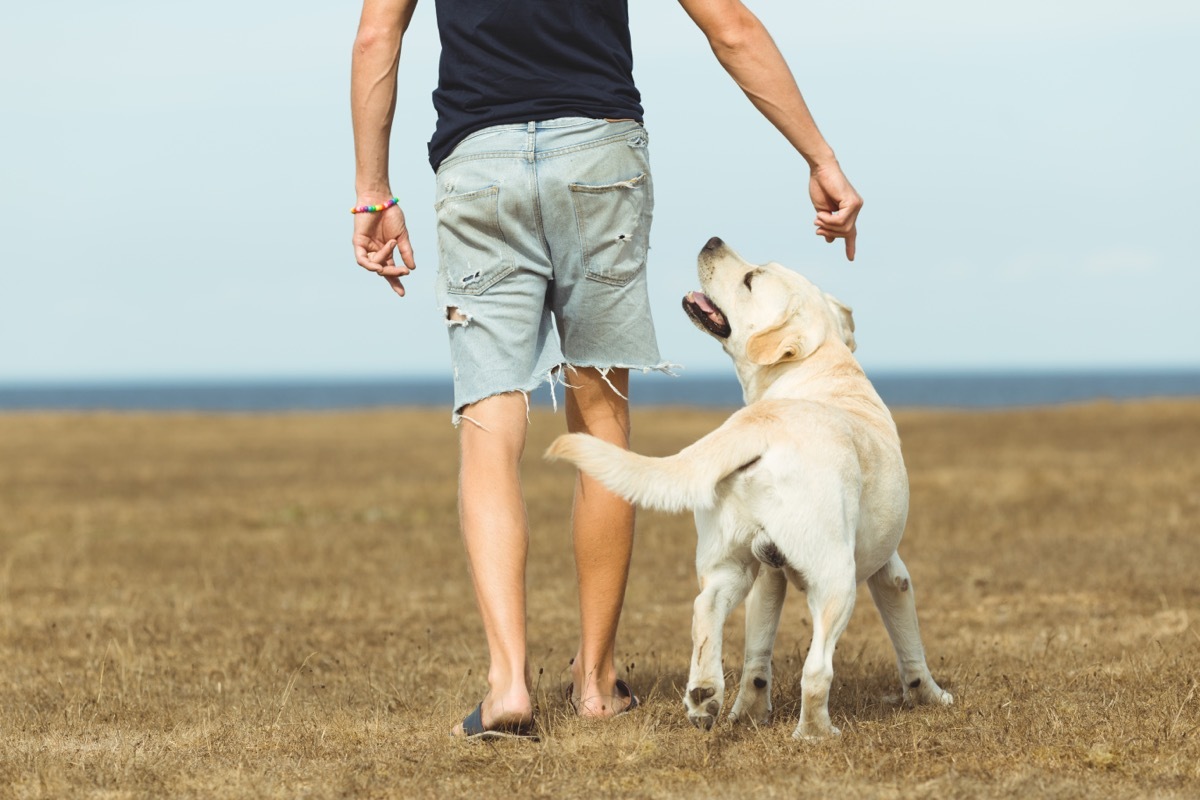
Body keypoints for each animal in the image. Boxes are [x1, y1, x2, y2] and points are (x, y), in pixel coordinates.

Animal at [547, 236, 955, 738]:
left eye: (750, 279)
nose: (712, 240)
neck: (819, 366)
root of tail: (762, 424)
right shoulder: (889, 570)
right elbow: (910, 644)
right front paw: (932, 696)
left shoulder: (770, 575)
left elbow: (757, 651)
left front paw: (748, 709)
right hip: (835, 580)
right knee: (816, 670)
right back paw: (816, 734)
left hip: (734, 563)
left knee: (706, 608)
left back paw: (707, 695)